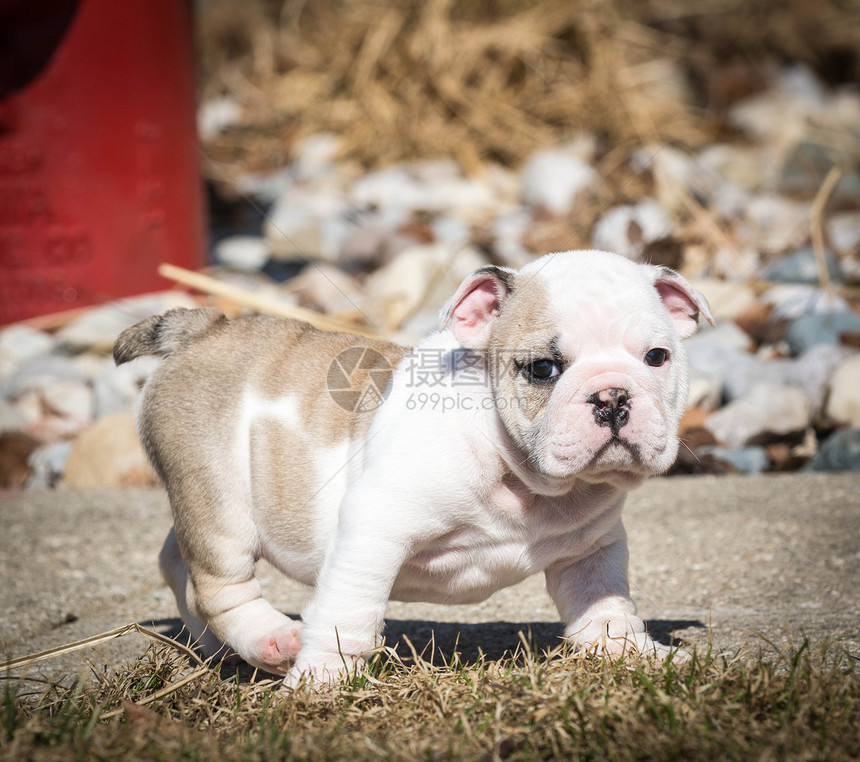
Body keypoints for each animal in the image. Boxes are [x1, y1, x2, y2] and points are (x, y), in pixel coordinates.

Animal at [114, 251, 712, 688]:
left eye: (657, 358)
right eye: (543, 368)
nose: (612, 396)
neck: (523, 477)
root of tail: (204, 329)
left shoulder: (593, 549)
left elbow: (606, 606)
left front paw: (636, 655)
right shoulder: (373, 529)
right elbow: (347, 615)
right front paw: (322, 683)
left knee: (177, 563)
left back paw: (218, 649)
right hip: (218, 497)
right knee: (218, 583)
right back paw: (270, 640)